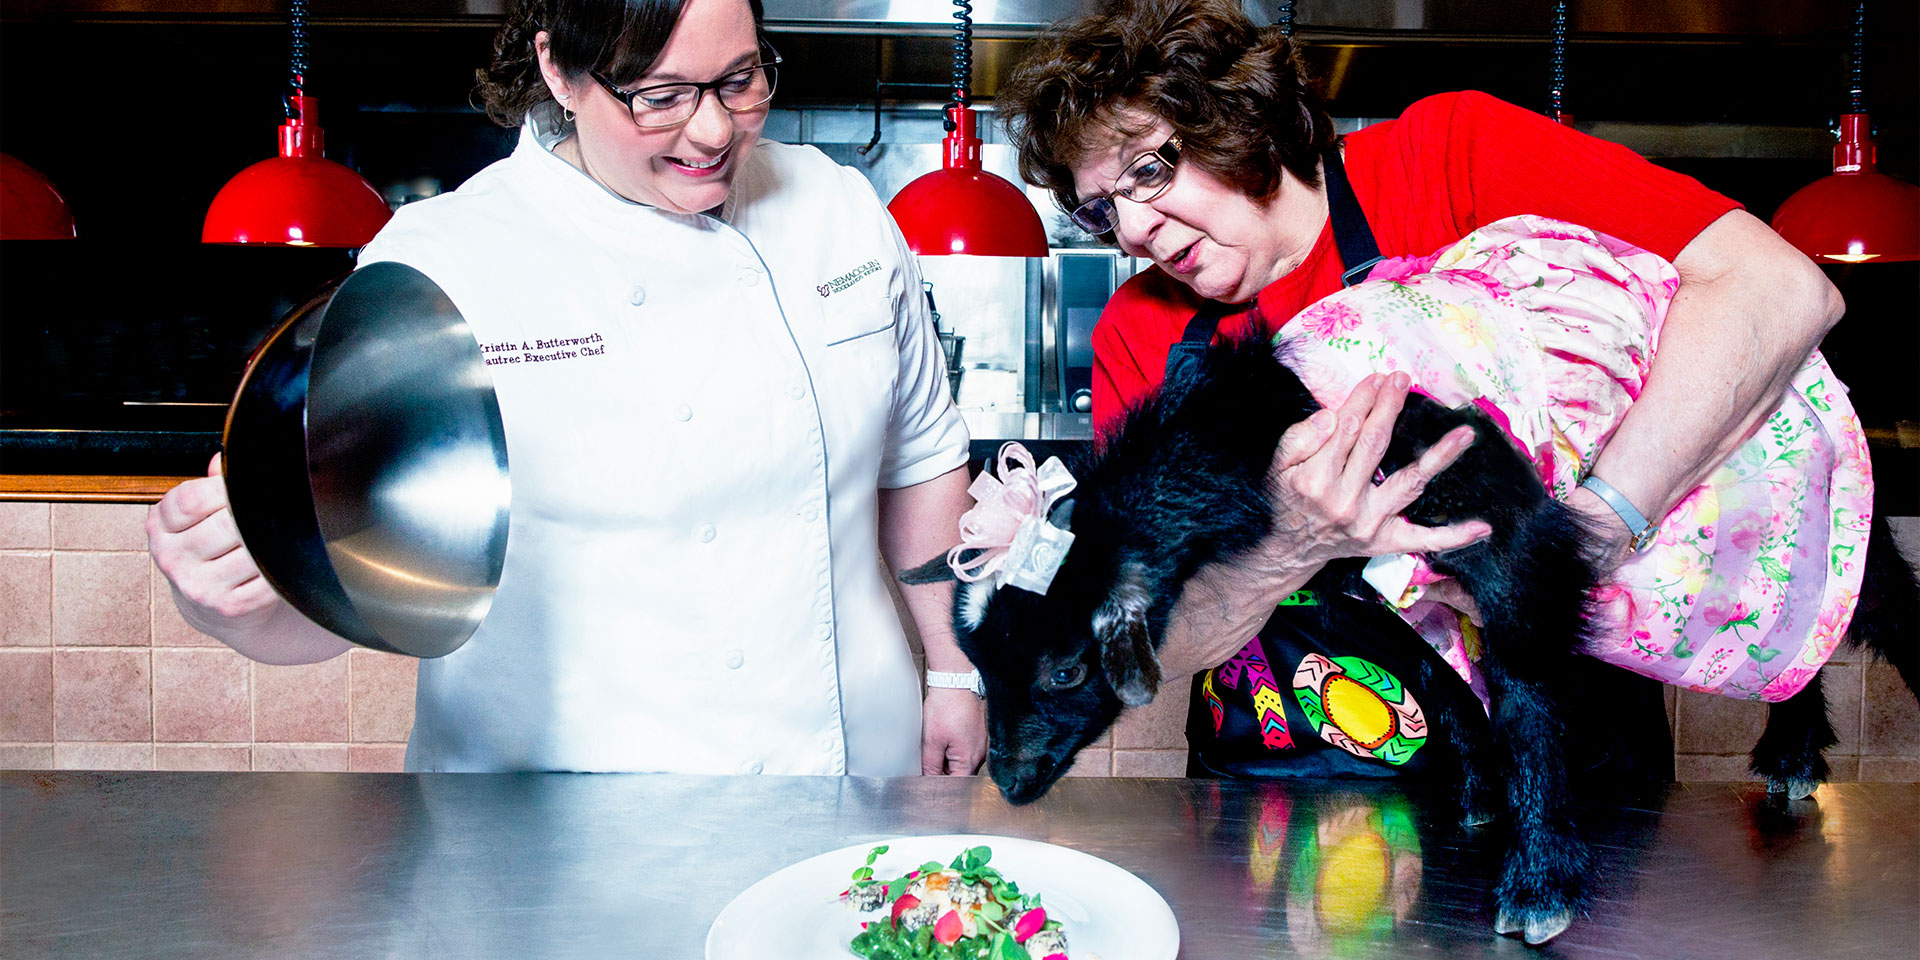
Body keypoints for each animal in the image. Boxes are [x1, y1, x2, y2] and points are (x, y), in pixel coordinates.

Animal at [910, 336, 1920, 944]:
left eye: (1066, 669)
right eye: (980, 667)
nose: (1009, 783)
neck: (1259, 426)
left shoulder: (1499, 523)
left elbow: (1525, 690)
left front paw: (1541, 879)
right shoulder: (1343, 564)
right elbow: (1429, 672)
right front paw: (1477, 788)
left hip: (1824, 528)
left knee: (1874, 609)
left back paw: (1794, 742)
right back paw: (1792, 747)